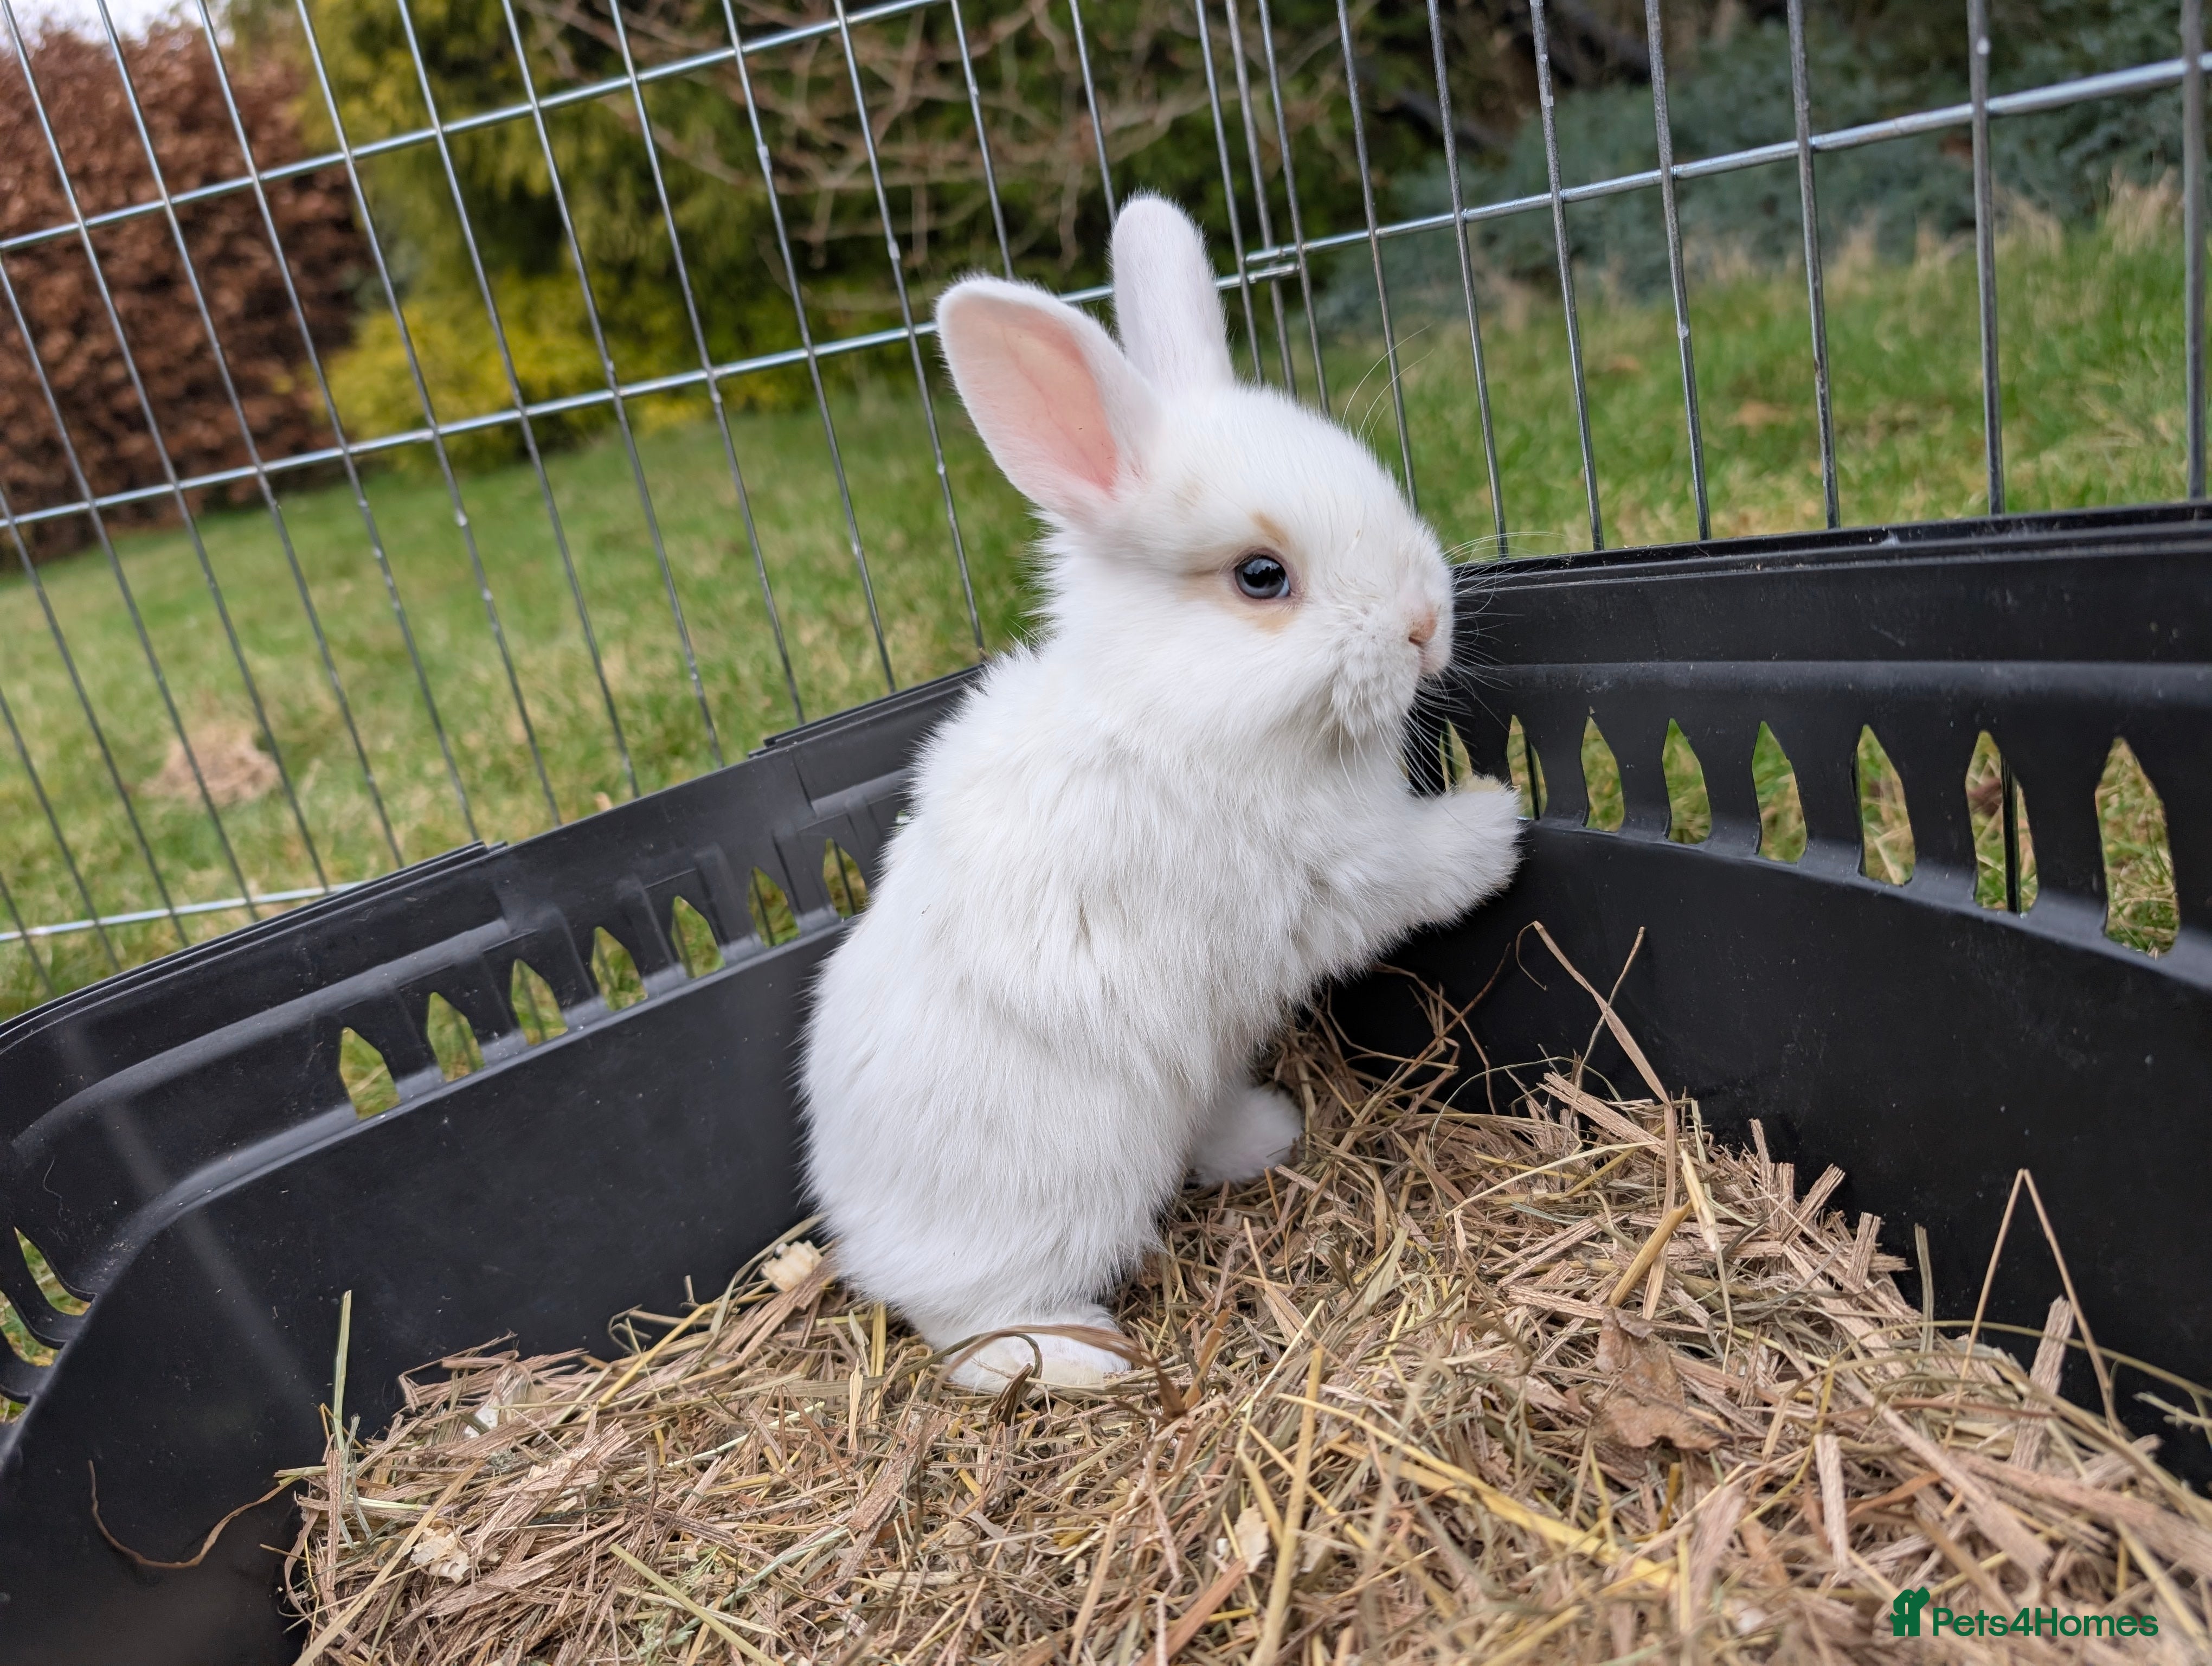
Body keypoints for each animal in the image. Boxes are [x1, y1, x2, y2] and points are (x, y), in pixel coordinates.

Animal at [799, 194, 1521, 1392]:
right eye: (1262, 577)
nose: (1428, 623)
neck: (1185, 712)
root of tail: (855, 1234)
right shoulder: (1333, 879)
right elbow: (1419, 871)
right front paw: (1501, 822)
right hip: (1053, 1205)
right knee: (971, 1332)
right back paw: (1085, 1357)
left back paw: (1263, 1134)